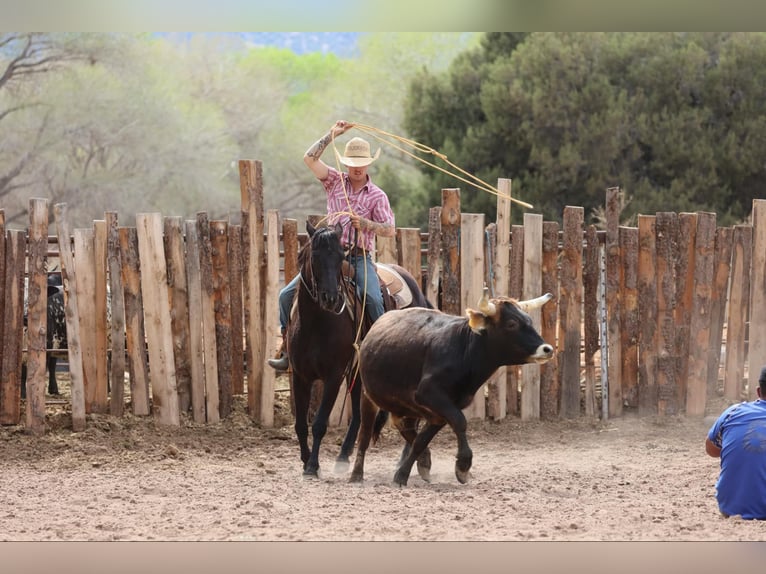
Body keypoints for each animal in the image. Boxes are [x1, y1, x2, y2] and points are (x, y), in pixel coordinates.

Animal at [286, 220, 431, 478]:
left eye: (340, 256)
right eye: (315, 255)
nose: (331, 299)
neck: (315, 323)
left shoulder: (334, 376)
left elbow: (320, 423)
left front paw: (313, 465)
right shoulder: (300, 376)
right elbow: (301, 424)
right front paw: (305, 461)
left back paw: (405, 462)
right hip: (358, 373)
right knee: (359, 415)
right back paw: (344, 457)